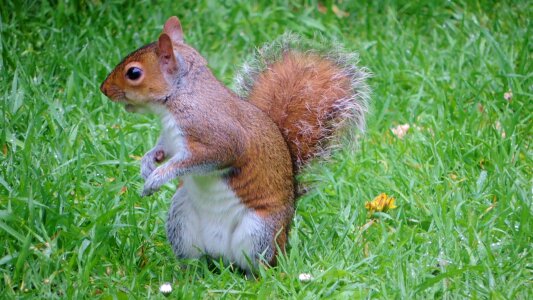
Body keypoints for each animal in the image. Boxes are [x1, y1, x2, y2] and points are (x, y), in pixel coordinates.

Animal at [100, 16, 368, 274]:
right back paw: (187, 274)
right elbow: (162, 149)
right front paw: (148, 163)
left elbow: (205, 157)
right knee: (195, 258)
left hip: (259, 232)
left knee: (258, 264)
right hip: (181, 219)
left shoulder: (218, 138)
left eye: (134, 73)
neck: (180, 97)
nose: (103, 89)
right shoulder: (170, 138)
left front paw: (158, 177)